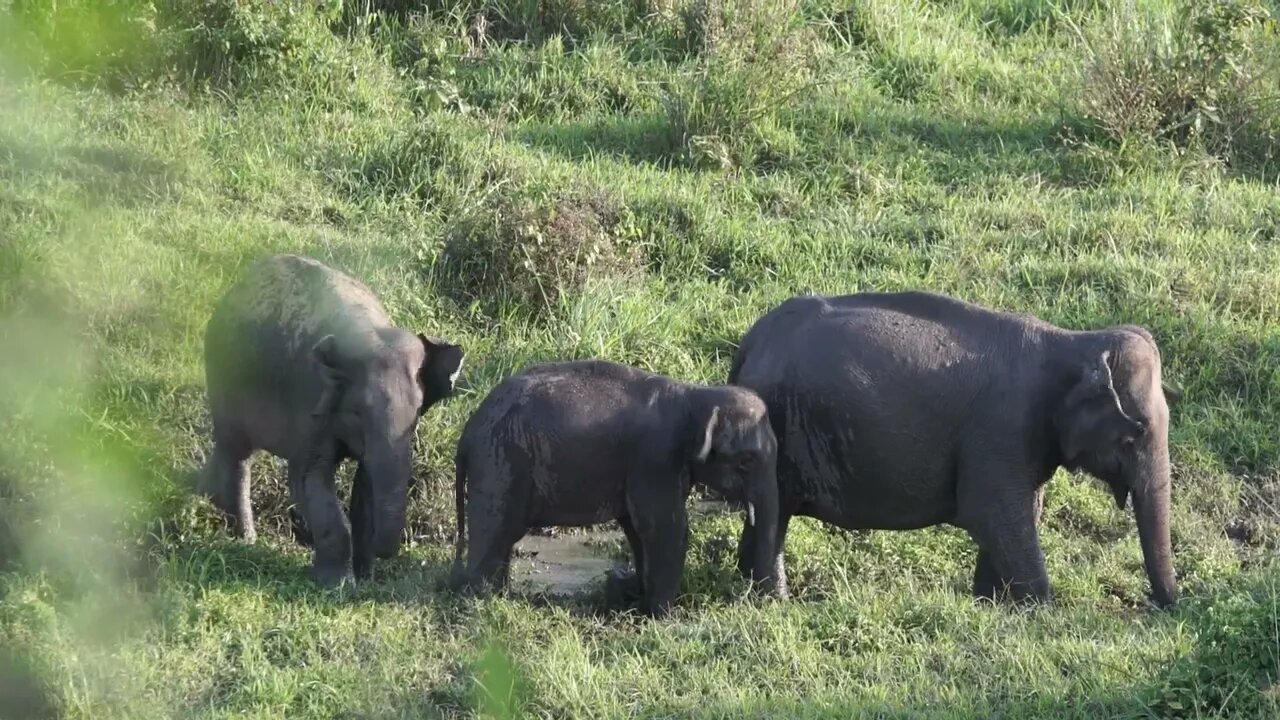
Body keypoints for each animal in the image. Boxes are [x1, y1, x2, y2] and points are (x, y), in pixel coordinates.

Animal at [204, 254, 471, 586]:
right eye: (357, 413)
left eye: (416, 418)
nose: (385, 555)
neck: (367, 329)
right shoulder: (310, 398)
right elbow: (310, 477)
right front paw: (338, 585)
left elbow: (367, 482)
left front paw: (365, 578)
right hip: (222, 374)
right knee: (239, 453)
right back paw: (246, 539)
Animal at [450, 356, 778, 614]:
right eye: (747, 461)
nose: (763, 599)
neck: (696, 395)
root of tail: (468, 432)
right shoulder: (655, 459)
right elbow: (666, 529)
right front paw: (662, 616)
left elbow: (636, 528)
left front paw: (638, 595)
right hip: (499, 463)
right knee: (496, 531)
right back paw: (482, 602)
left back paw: (500, 595)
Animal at [732, 286, 1177, 604]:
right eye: (1136, 433)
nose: (1157, 604)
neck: (1073, 341)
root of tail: (750, 343)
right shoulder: (1001, 427)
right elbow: (993, 511)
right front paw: (1040, 610)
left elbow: (1019, 512)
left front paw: (991, 604)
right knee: (775, 514)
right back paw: (775, 600)